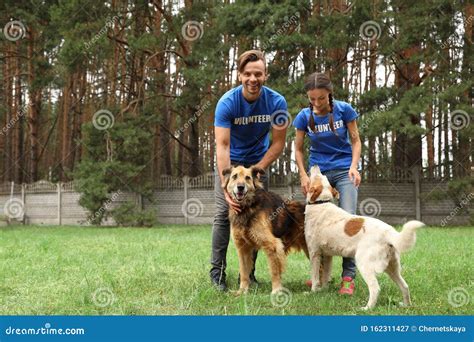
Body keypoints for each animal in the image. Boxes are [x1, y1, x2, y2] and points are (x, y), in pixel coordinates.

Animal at [222, 166, 308, 294]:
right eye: (234, 176)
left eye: (247, 178)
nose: (240, 187)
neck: (247, 208)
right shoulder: (242, 247)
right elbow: (244, 272)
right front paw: (242, 291)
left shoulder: (273, 245)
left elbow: (275, 271)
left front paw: (276, 291)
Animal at [306, 166, 424, 310]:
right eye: (322, 176)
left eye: (318, 176)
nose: (316, 166)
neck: (321, 202)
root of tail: (388, 231)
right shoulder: (328, 255)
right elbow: (325, 277)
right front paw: (323, 290)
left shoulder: (314, 253)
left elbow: (315, 277)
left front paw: (313, 292)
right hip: (392, 267)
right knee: (405, 286)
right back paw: (405, 305)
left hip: (364, 264)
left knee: (375, 288)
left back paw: (367, 308)